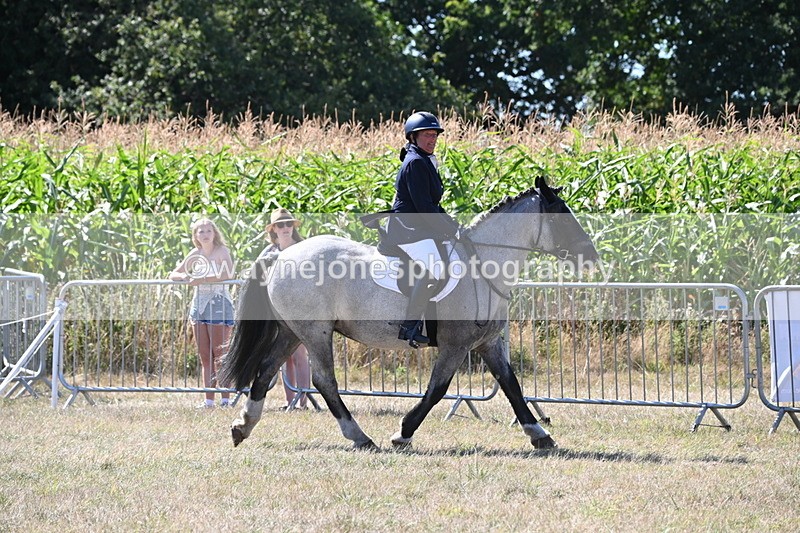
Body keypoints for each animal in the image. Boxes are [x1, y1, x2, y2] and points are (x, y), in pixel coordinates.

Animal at [220, 176, 598, 450]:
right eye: (563, 217)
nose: (591, 256)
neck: (484, 265)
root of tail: (281, 256)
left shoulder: (488, 344)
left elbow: (511, 385)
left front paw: (540, 435)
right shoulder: (456, 346)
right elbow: (437, 389)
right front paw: (402, 433)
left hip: (292, 331)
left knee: (266, 371)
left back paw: (242, 426)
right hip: (315, 332)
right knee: (323, 380)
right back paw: (360, 437)